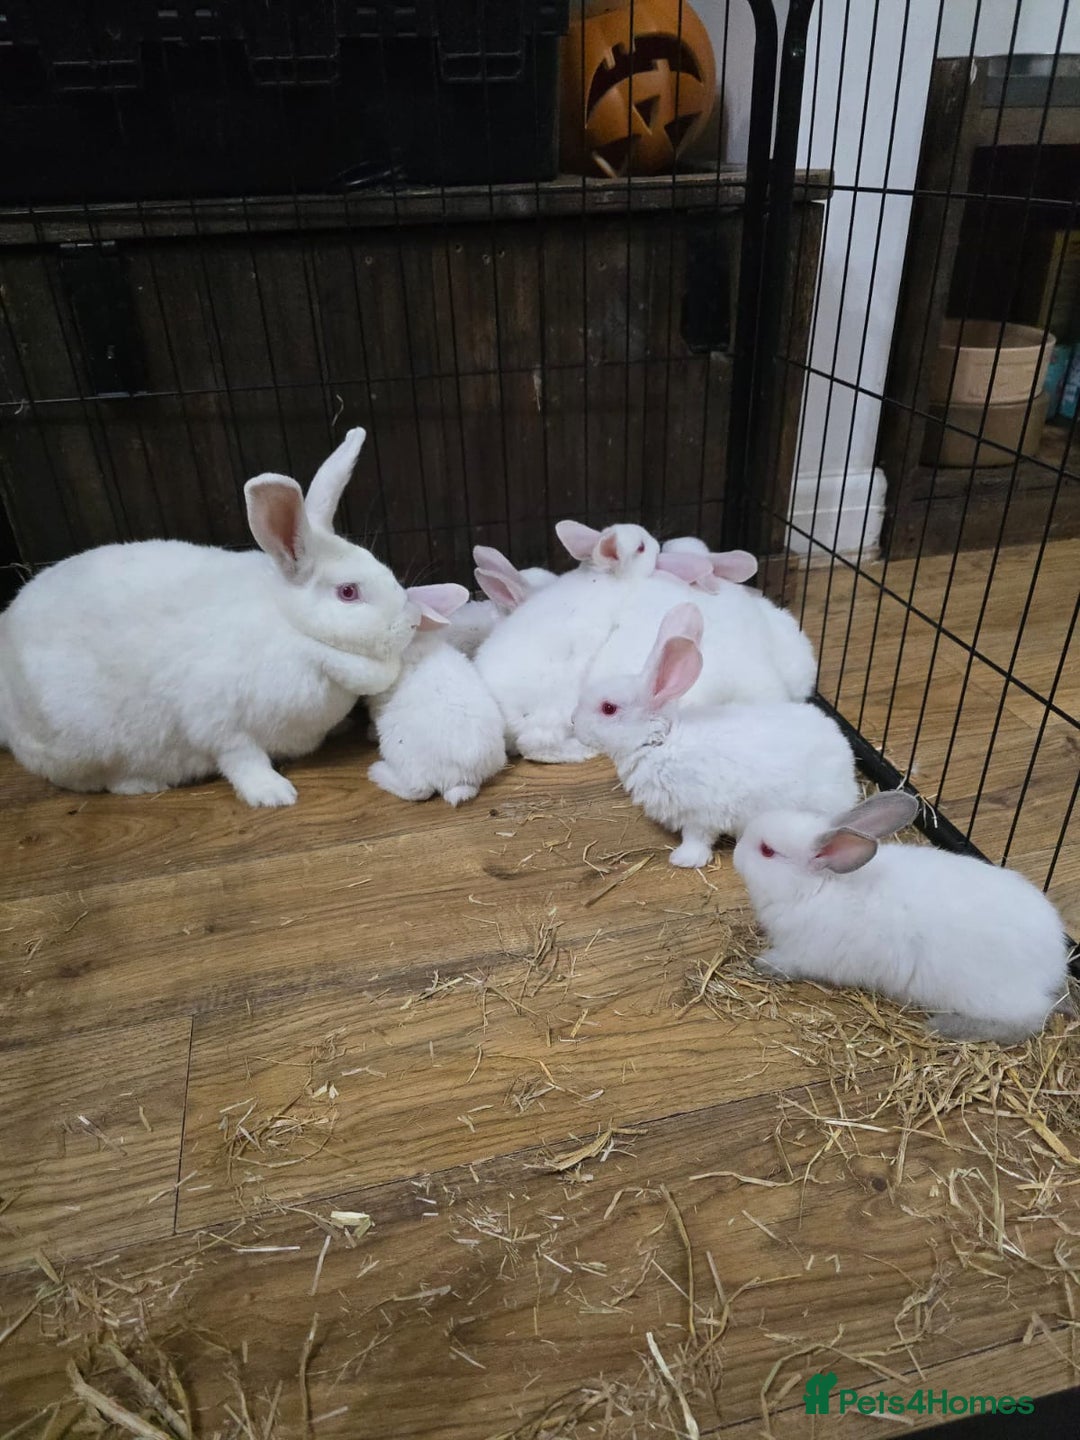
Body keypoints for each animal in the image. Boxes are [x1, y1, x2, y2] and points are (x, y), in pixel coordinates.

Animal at [0, 428, 417, 807]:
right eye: (348, 592)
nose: (411, 622)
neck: (292, 628)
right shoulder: (217, 721)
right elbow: (241, 758)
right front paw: (274, 794)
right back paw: (142, 784)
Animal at [367, 582, 507, 806]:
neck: (411, 642)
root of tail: (462, 778)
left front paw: (369, 732)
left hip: (400, 749)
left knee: (419, 790)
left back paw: (376, 771)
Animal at [474, 519, 668, 763]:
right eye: (641, 548)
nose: (657, 546)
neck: (606, 577)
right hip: (557, 705)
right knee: (533, 745)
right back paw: (583, 751)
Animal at [572, 603, 859, 866]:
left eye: (608, 708)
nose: (573, 722)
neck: (660, 742)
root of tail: (843, 751)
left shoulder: (700, 814)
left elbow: (697, 838)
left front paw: (684, 859)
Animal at [733, 792, 1073, 1044]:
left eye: (766, 851)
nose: (735, 854)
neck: (819, 886)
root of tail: (1055, 962)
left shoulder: (807, 953)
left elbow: (789, 963)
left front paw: (764, 964)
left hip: (987, 996)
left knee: (1029, 1021)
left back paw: (946, 1026)